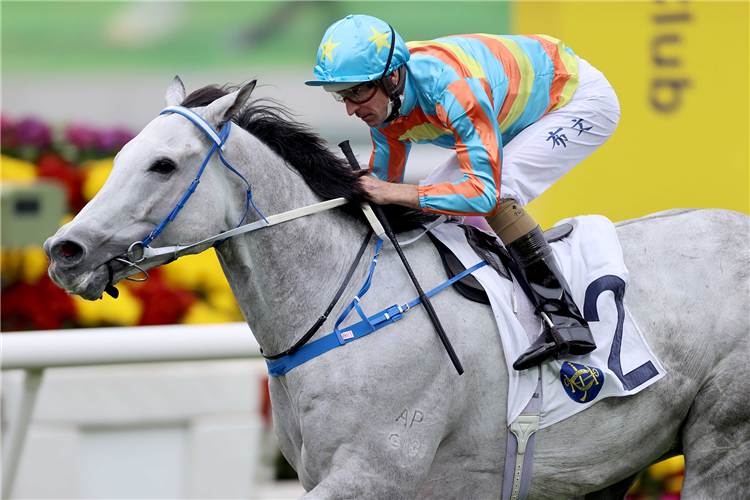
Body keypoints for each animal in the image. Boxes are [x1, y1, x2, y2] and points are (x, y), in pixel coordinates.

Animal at [44, 80, 748, 498]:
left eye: (163, 164)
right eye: (120, 155)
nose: (62, 252)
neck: (343, 309)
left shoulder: (370, 475)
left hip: (722, 441)